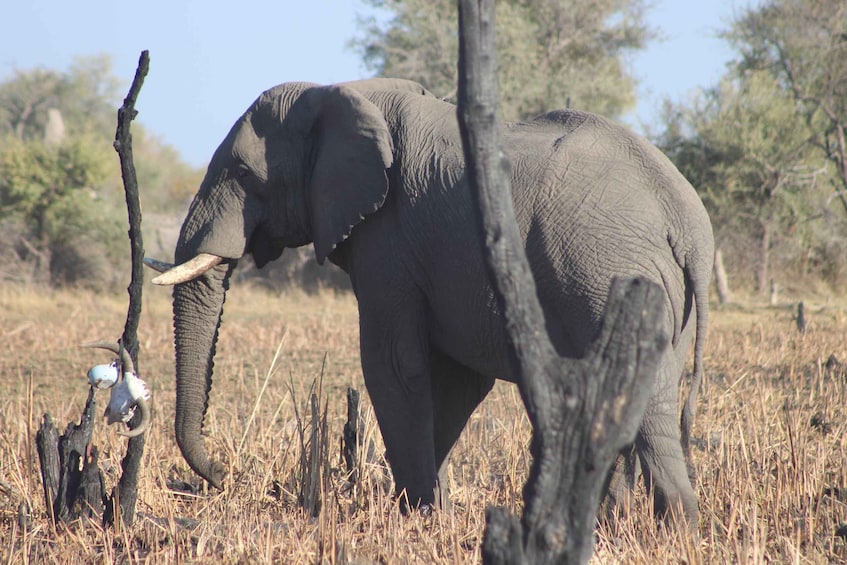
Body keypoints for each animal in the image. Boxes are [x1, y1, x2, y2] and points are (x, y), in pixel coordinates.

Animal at [151, 77, 713, 524]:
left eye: (245, 175)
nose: (222, 474)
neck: (335, 92)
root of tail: (686, 222)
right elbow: (458, 381)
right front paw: (430, 508)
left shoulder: (389, 239)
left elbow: (395, 365)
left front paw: (414, 510)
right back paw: (612, 521)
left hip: (605, 270)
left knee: (640, 405)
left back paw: (674, 527)